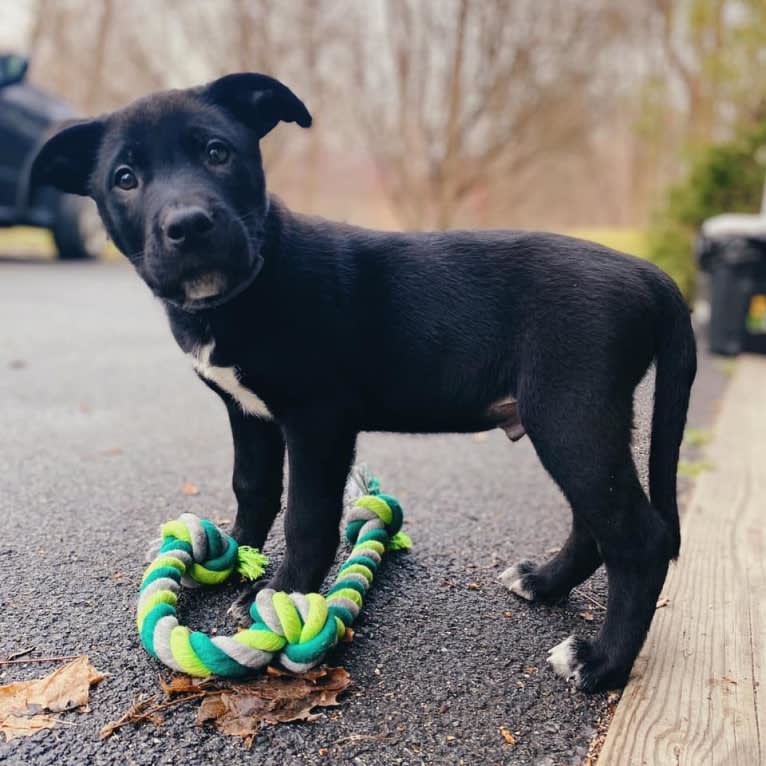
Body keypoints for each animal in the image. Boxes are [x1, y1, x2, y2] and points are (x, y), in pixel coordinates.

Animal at [31, 75, 696, 692]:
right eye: (124, 178)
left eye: (218, 153)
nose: (189, 225)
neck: (253, 278)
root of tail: (648, 273)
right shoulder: (248, 413)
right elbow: (253, 487)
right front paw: (230, 555)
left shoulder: (317, 422)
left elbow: (307, 517)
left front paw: (279, 595)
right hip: (572, 419)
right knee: (595, 521)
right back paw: (544, 583)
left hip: (570, 412)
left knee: (638, 537)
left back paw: (600, 663)